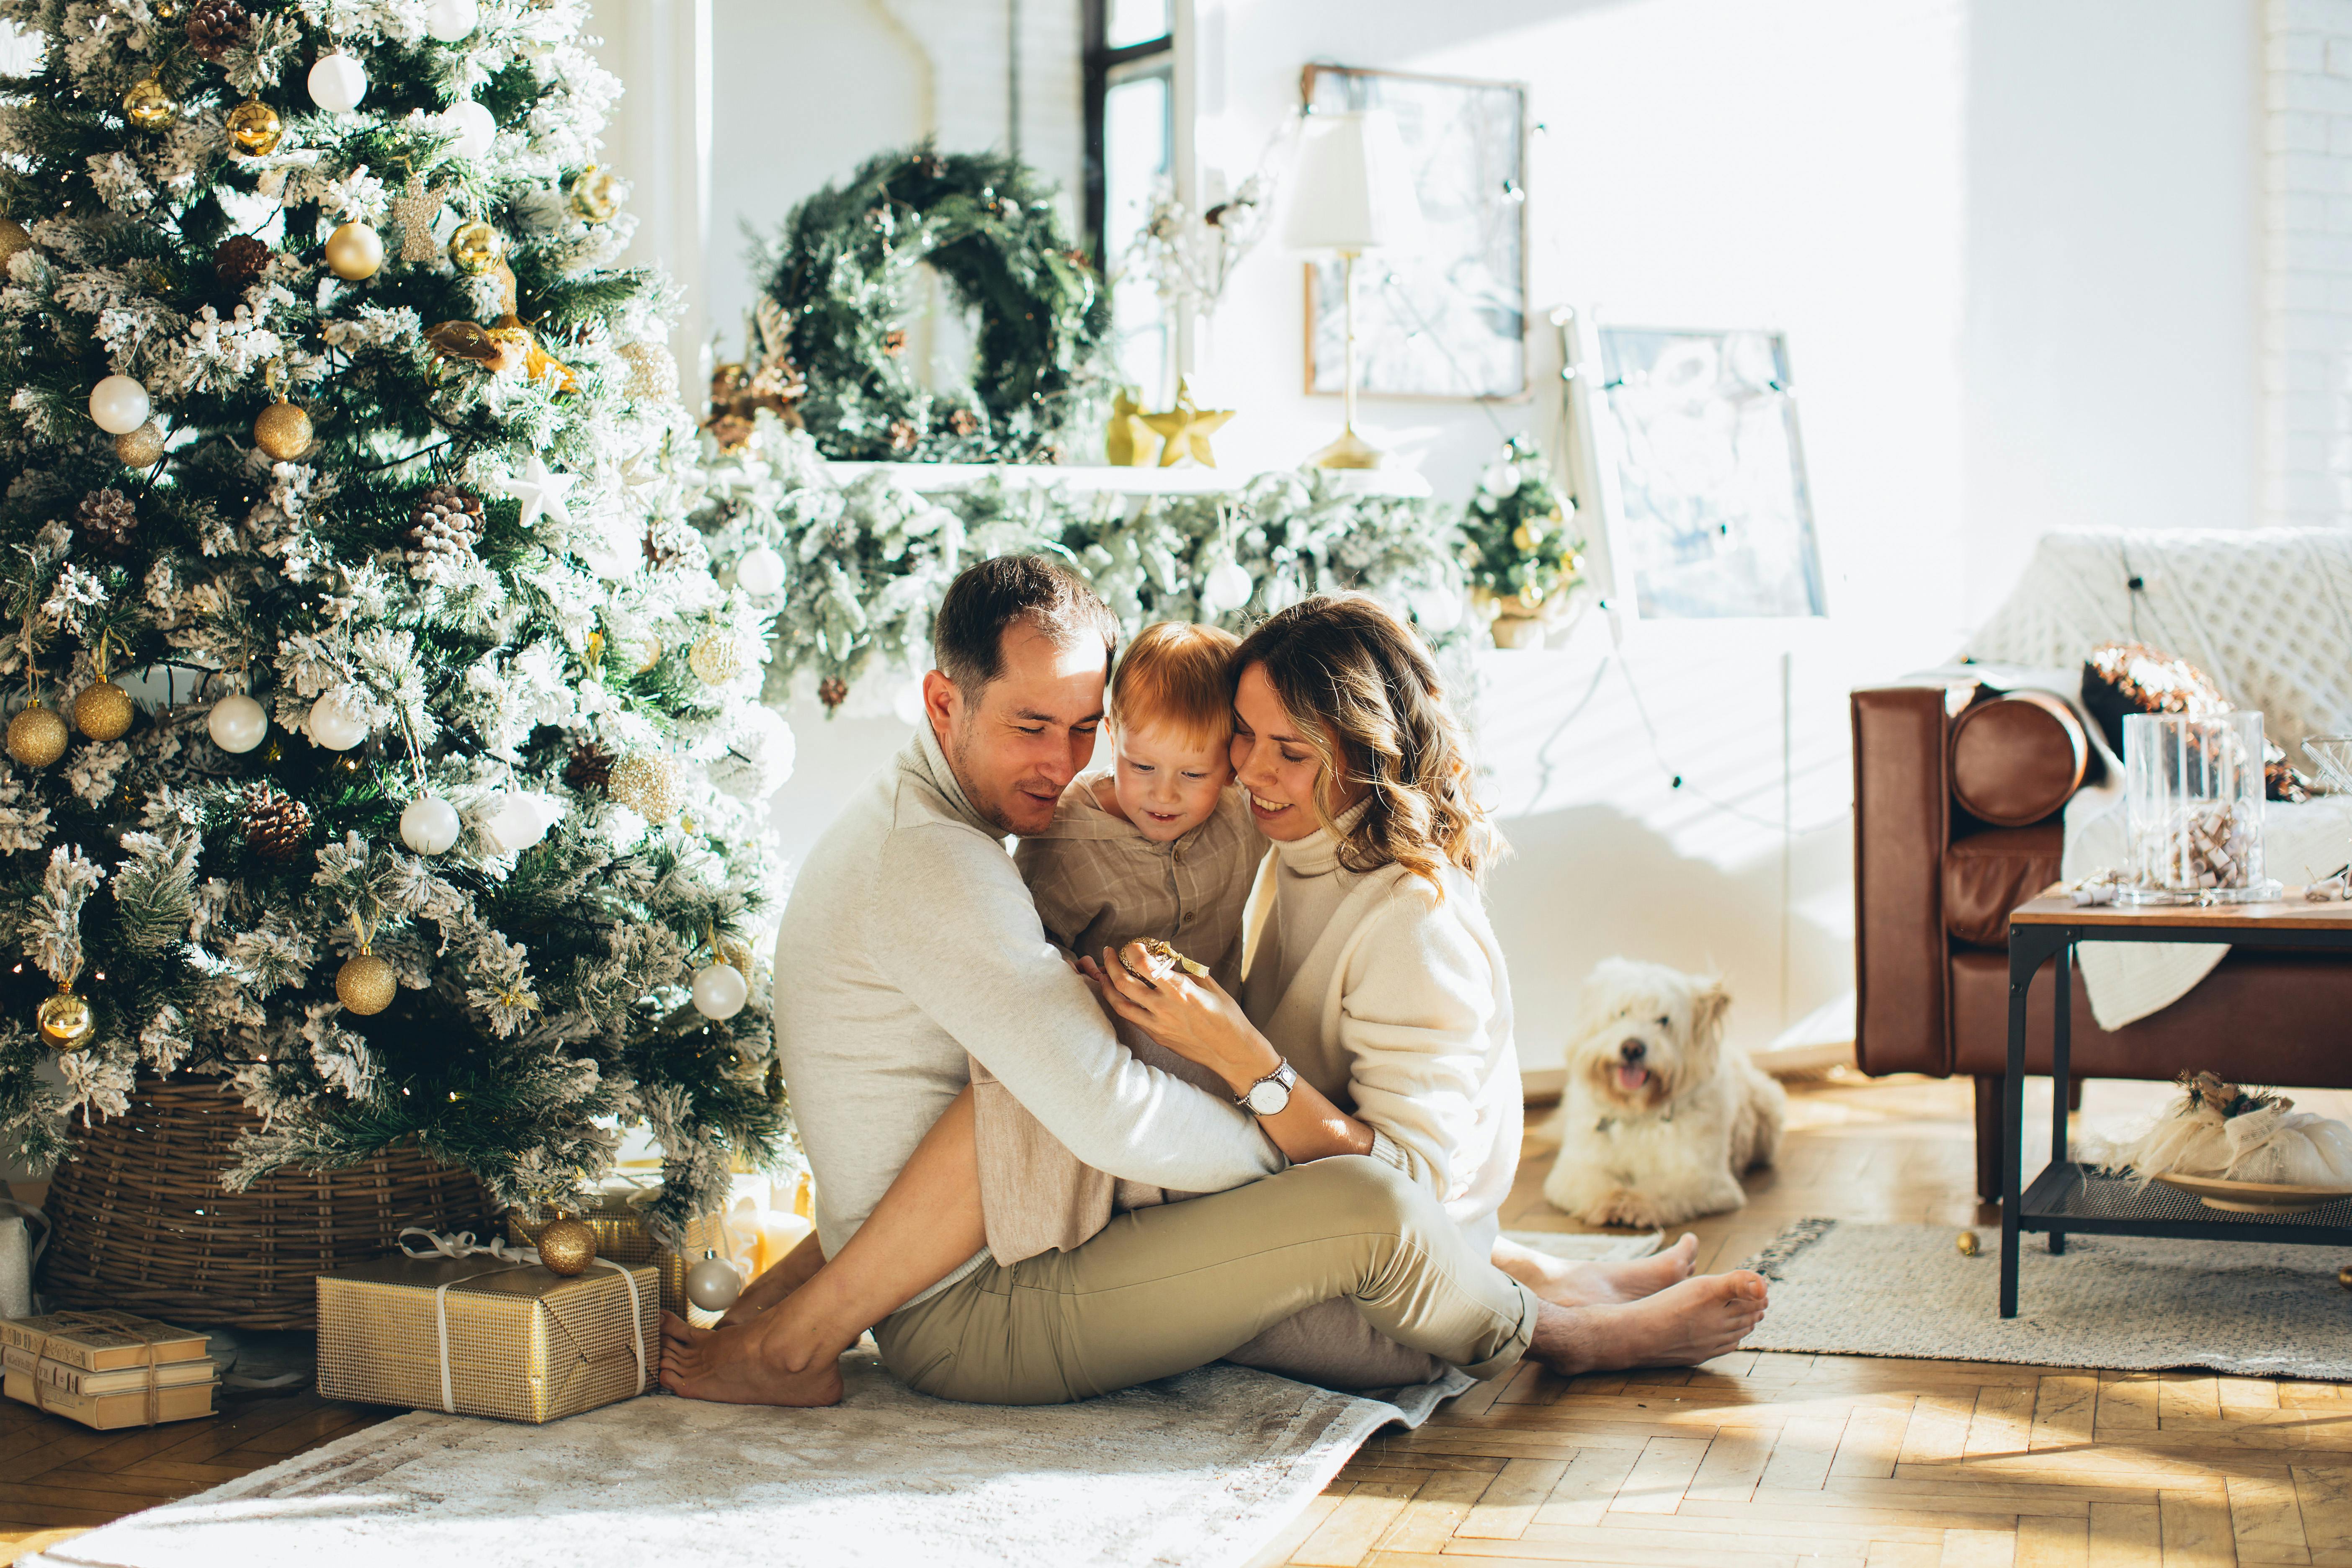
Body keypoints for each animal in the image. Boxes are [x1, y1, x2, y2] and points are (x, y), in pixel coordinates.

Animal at [1543, 964, 1778, 1232]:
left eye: (1664, 1021)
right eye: (1622, 1012)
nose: (1632, 1048)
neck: (1638, 1111)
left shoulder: (1705, 1176)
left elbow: (1664, 1187)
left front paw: (1636, 1204)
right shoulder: (1575, 1168)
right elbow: (1594, 1184)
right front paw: (1609, 1202)